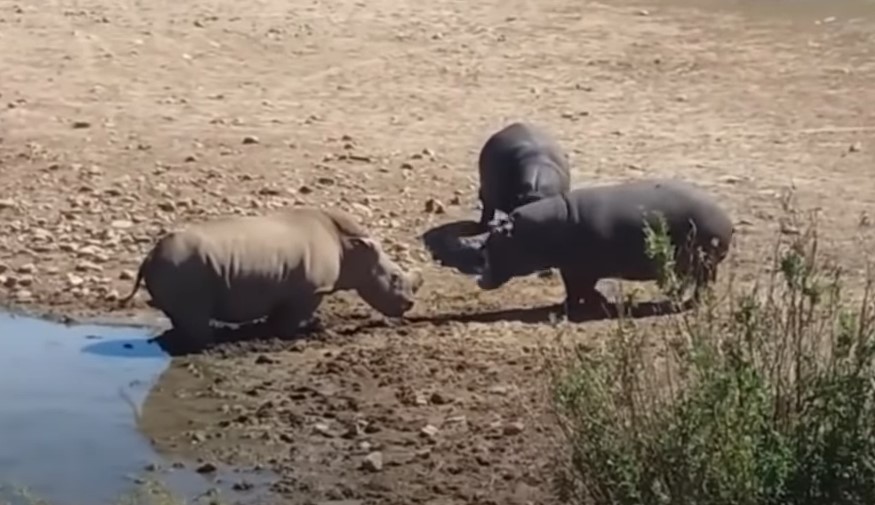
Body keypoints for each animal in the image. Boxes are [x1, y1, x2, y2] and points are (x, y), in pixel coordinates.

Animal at [119, 207, 424, 351]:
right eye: (395, 277)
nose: (409, 305)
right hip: (182, 268)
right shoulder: (312, 290)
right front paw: (302, 332)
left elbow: (280, 315)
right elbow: (291, 318)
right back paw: (207, 344)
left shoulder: (293, 288)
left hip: (175, 267)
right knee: (193, 314)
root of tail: (148, 256)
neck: (352, 247)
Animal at [428, 179, 734, 314]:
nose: (479, 279)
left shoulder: (583, 268)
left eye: (497, 240)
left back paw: (688, 304)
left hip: (702, 264)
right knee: (695, 284)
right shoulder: (570, 268)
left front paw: (596, 304)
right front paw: (571, 305)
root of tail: (726, 217)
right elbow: (574, 290)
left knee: (701, 285)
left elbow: (583, 289)